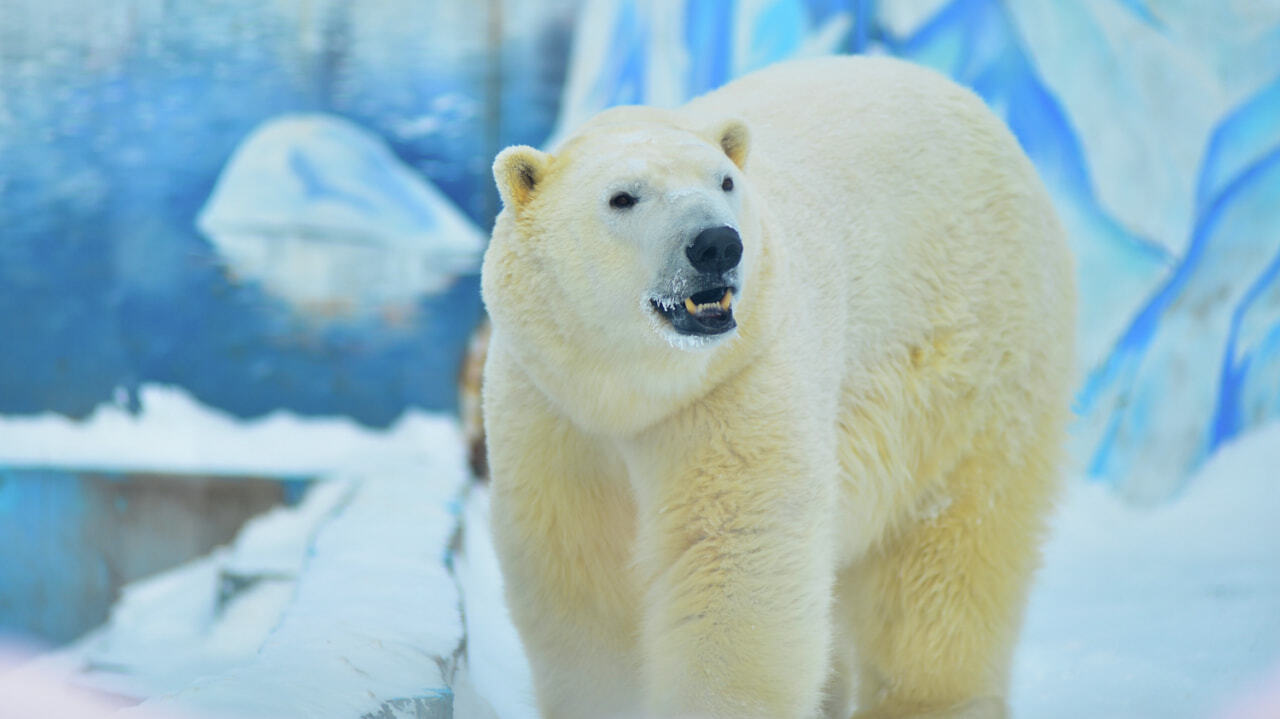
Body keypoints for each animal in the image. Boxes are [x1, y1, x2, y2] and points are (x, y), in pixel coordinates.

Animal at [478, 55, 1070, 716]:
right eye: (622, 198)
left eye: (725, 182)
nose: (716, 243)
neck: (630, 394)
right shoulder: (553, 408)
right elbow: (583, 581)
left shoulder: (739, 381)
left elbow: (736, 564)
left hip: (974, 364)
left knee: (945, 562)